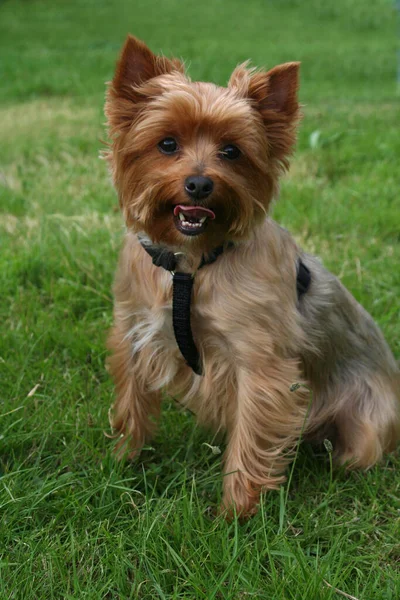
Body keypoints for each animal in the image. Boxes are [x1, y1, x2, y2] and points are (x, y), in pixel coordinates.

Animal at [104, 35, 400, 516]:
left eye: (231, 152)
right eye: (167, 144)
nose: (200, 184)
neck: (191, 265)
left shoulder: (259, 364)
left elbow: (250, 437)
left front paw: (236, 513)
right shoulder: (134, 330)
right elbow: (131, 401)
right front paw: (122, 462)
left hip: (368, 426)